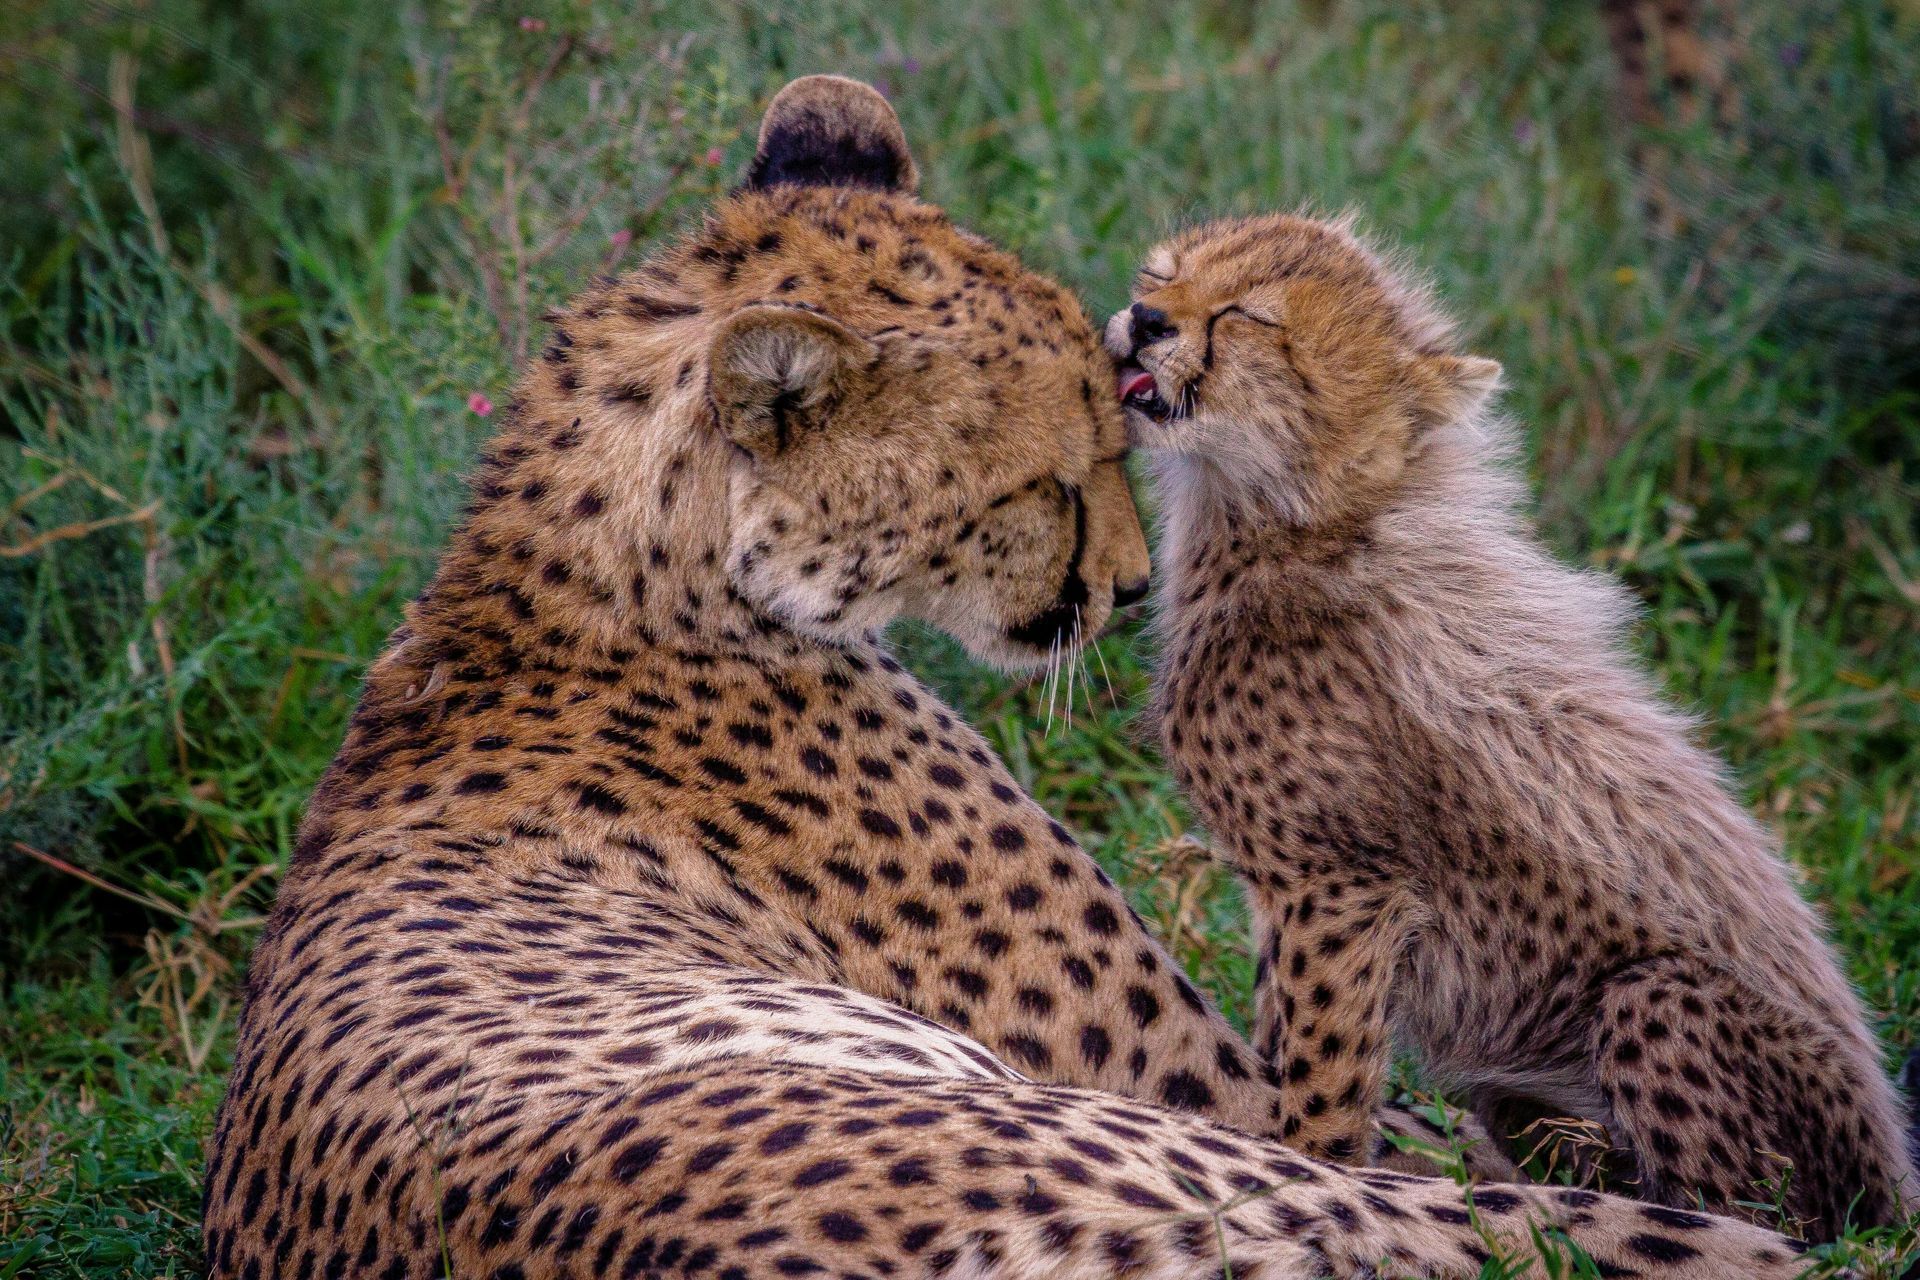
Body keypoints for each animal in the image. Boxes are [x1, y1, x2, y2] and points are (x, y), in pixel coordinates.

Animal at [202, 82, 1804, 1280]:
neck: (604, 564)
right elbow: (1419, 1124)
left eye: (1123, 424)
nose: (1133, 594)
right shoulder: (1231, 1098)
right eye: (1045, 479)